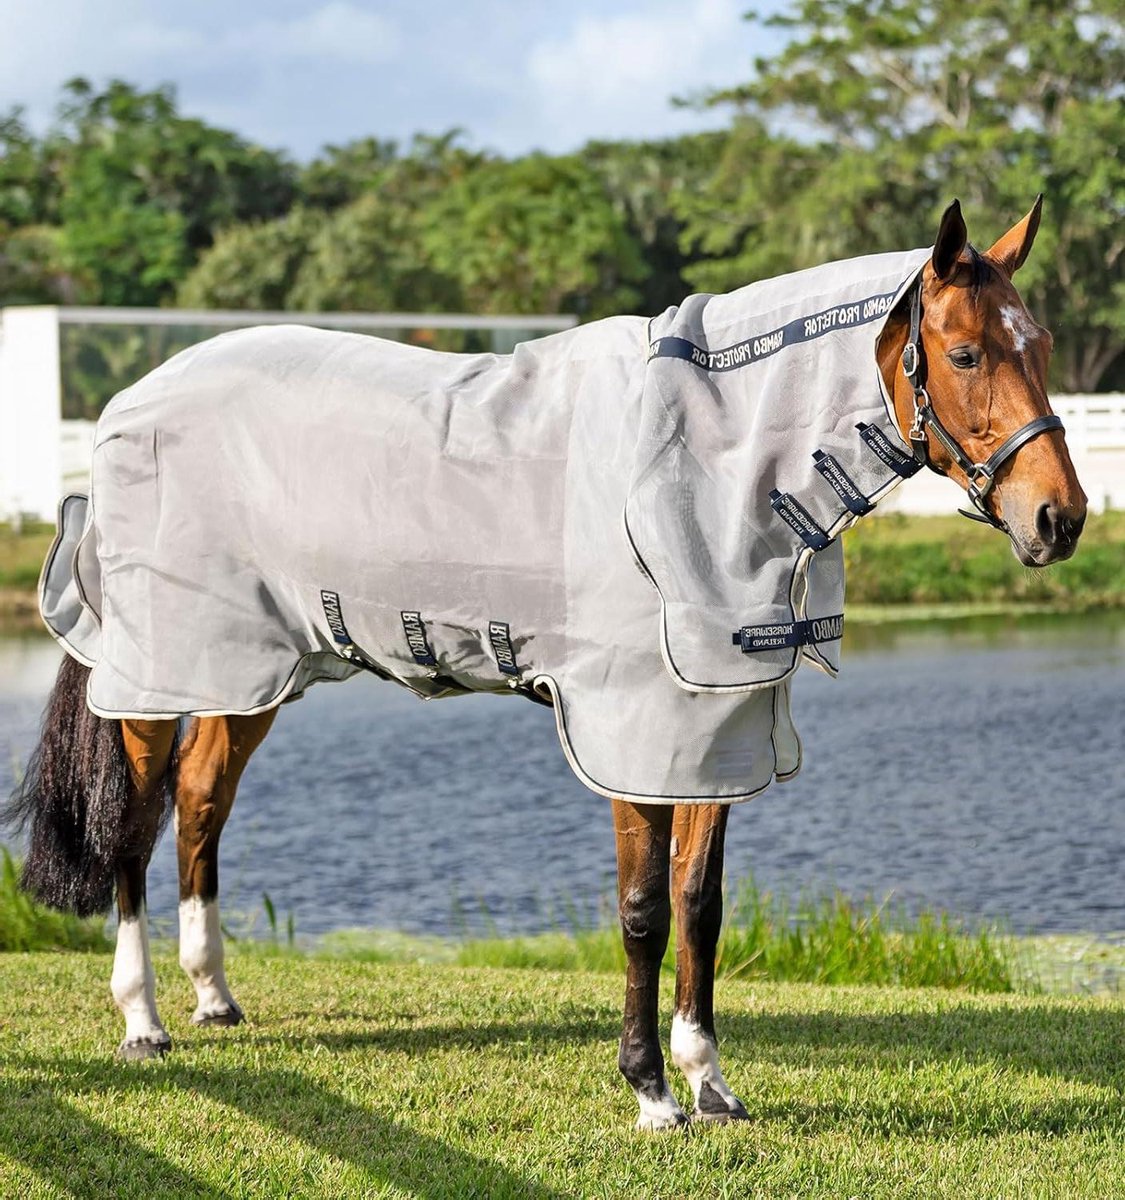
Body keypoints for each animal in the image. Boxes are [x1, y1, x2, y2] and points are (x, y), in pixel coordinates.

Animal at [5, 198, 1086, 1131]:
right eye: (964, 352)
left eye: (1041, 348)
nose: (1059, 519)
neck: (700, 470)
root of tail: (129, 401)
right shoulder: (634, 737)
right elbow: (643, 912)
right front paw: (650, 1092)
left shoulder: (712, 735)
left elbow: (702, 907)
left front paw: (711, 1084)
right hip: (160, 675)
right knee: (133, 828)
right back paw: (143, 1021)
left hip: (250, 670)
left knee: (200, 804)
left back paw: (214, 997)